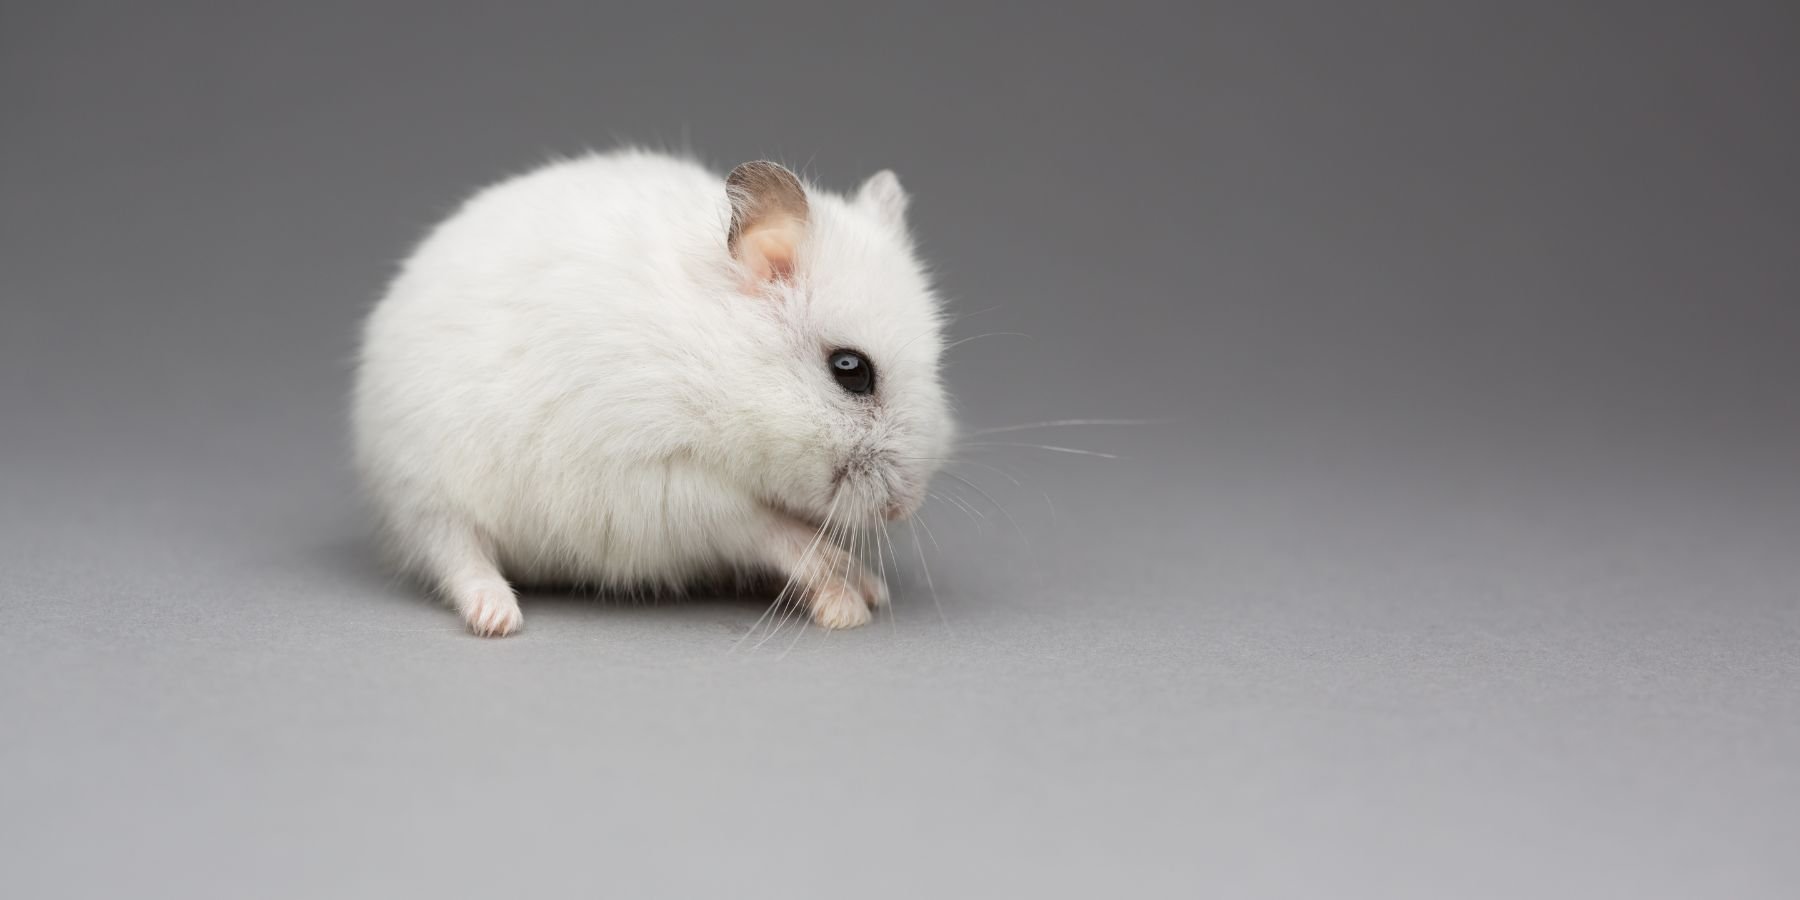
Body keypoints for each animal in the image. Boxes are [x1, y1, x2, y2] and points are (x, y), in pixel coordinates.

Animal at [352, 150, 954, 636]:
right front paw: (840, 595)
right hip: (427, 492)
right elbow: (766, 529)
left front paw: (867, 588)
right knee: (456, 554)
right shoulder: (662, 482)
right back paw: (497, 617)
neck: (715, 362)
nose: (905, 508)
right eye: (850, 369)